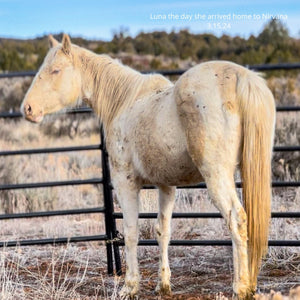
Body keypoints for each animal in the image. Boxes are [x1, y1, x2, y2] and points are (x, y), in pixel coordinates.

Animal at [19, 34, 276, 298]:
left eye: (56, 70)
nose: (27, 108)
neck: (124, 102)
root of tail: (240, 77)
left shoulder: (125, 183)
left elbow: (131, 232)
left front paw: (130, 286)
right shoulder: (166, 186)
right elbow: (162, 231)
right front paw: (163, 285)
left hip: (216, 176)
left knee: (237, 219)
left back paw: (241, 287)